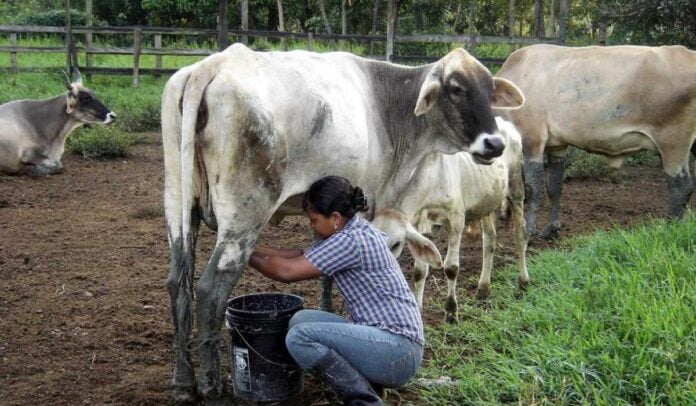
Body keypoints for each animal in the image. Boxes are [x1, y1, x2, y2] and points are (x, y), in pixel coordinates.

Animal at [376, 117, 528, 324]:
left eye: (396, 244)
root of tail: (504, 122)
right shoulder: (419, 223)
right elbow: (420, 271)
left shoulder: (456, 219)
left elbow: (451, 268)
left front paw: (451, 312)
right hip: (486, 201)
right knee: (489, 240)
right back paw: (483, 288)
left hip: (515, 187)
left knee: (520, 235)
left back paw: (523, 281)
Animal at [498, 44, 692, 239]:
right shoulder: (557, 145)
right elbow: (554, 187)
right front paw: (551, 229)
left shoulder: (531, 137)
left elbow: (532, 187)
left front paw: (529, 231)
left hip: (673, 142)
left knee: (681, 187)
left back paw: (669, 230)